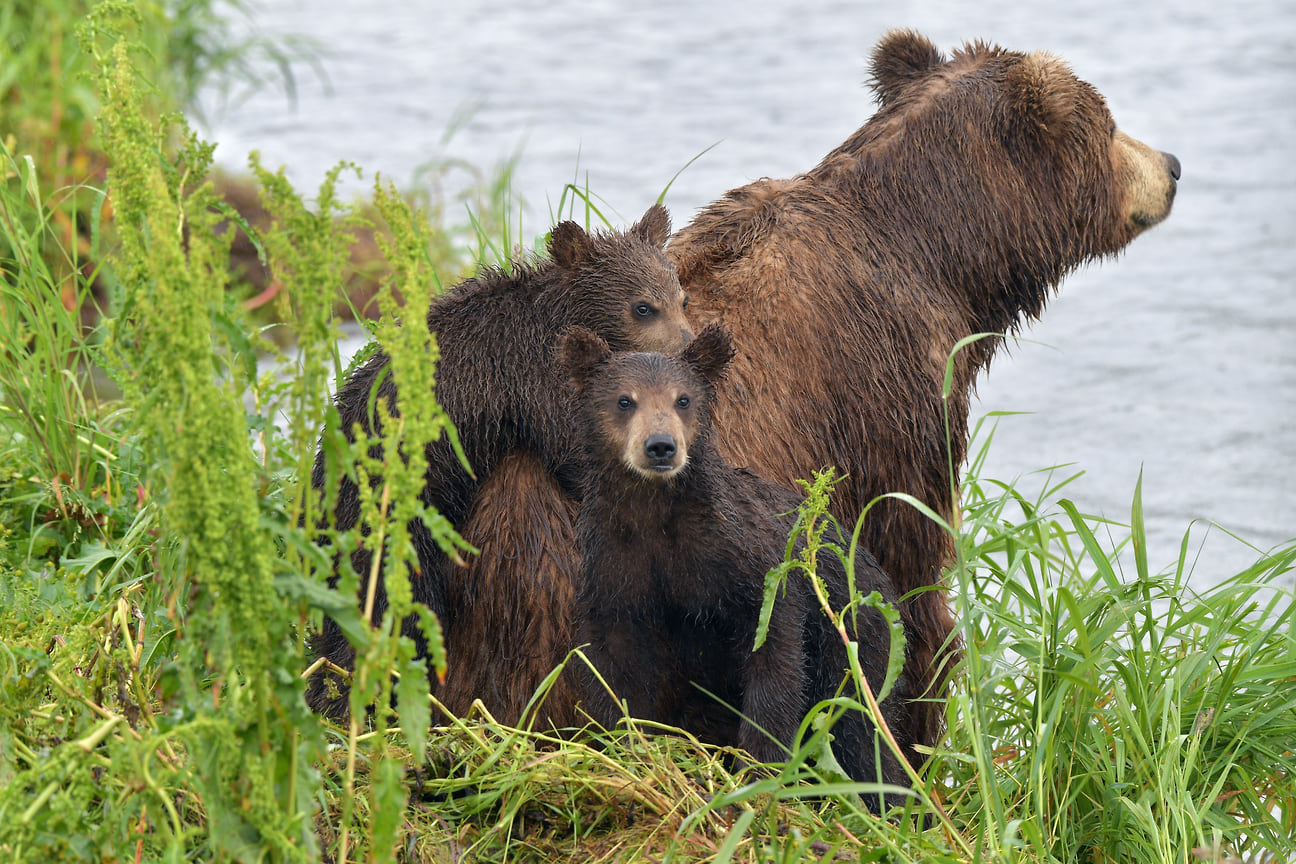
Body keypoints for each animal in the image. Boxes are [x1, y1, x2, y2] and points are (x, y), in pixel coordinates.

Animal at [668, 32, 1187, 751]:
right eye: (1110, 125)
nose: (1173, 165)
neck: (942, 256)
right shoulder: (886, 397)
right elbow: (906, 576)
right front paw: (919, 722)